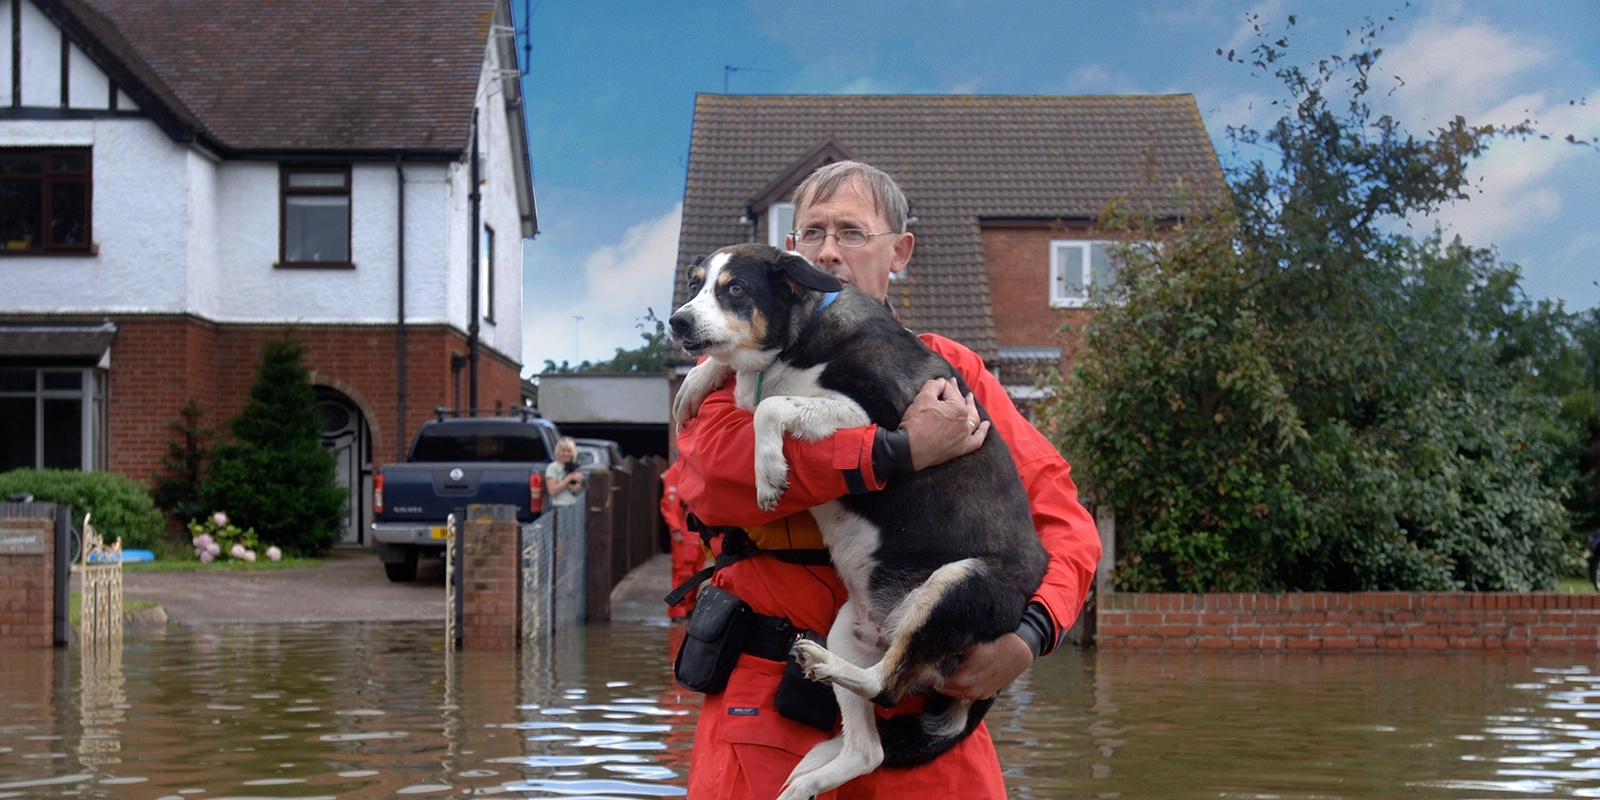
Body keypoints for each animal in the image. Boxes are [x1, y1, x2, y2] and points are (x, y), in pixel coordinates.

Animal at [665, 243, 1049, 800]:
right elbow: (742, 384)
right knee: (869, 750)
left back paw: (823, 669)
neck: (802, 333)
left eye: (735, 288)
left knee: (885, 688)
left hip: (956, 583)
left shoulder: (871, 418)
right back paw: (804, 782)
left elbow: (771, 406)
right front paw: (697, 382)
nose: (678, 321)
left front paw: (768, 470)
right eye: (695, 284)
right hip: (851, 624)